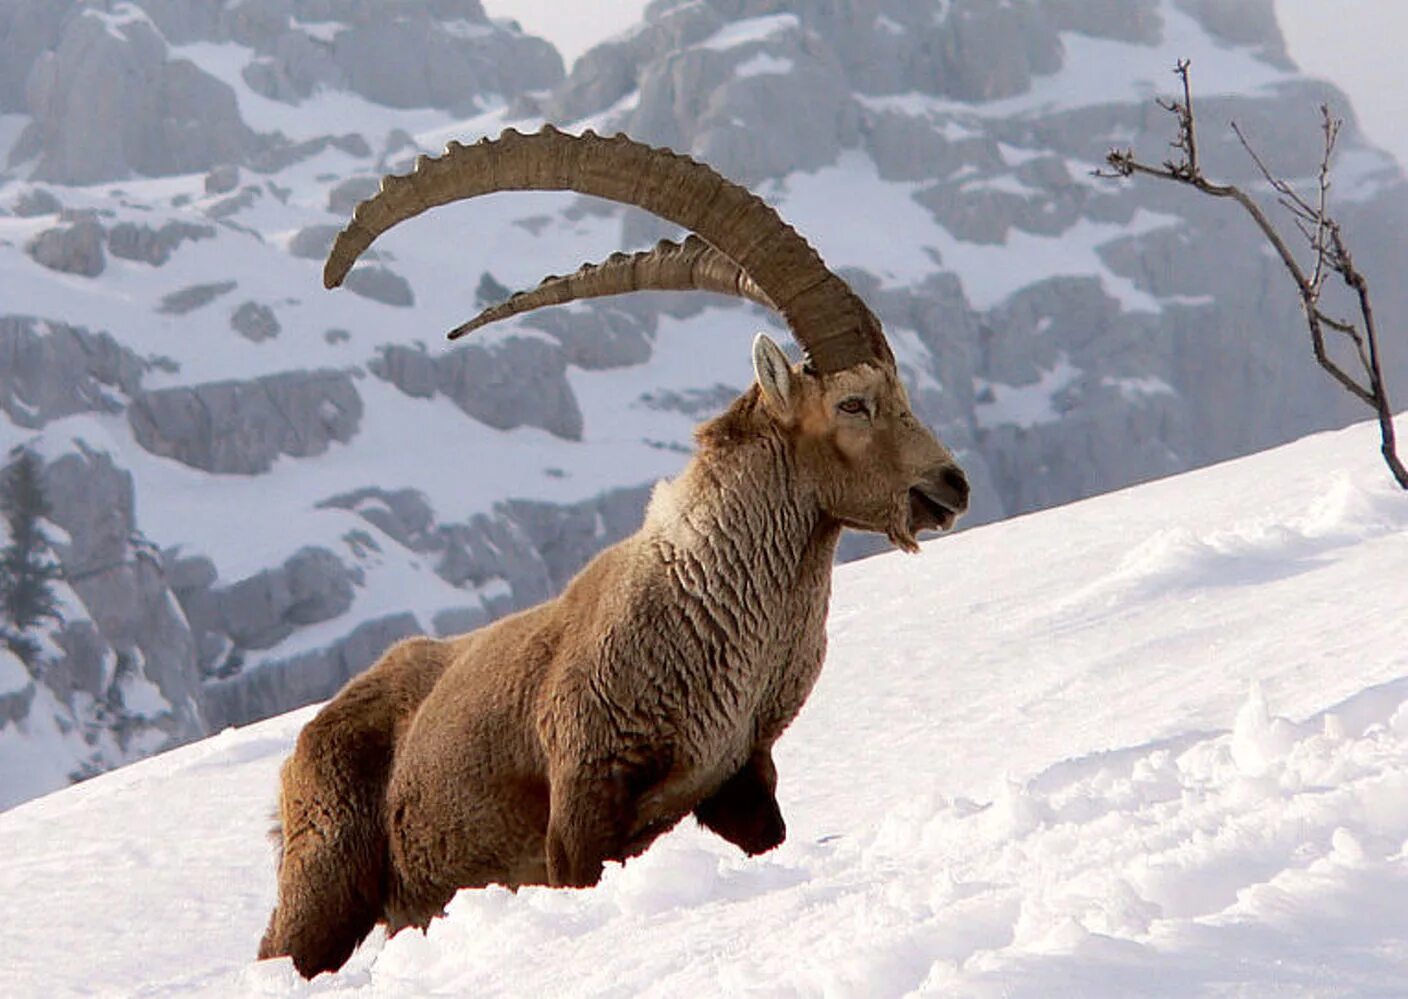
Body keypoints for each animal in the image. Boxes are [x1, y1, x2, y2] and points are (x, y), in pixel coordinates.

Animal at [259, 125, 974, 979]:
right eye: (854, 403)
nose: (951, 484)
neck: (706, 597)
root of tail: (306, 740)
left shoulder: (740, 777)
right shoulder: (579, 804)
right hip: (326, 877)